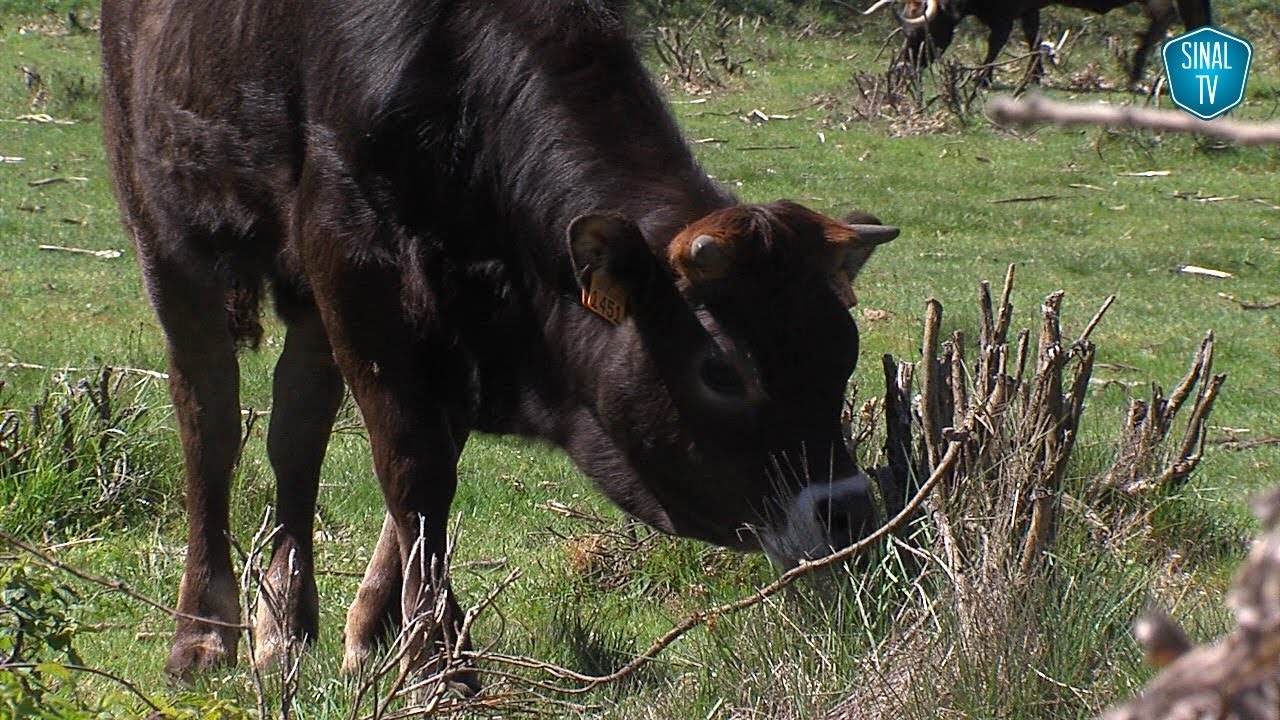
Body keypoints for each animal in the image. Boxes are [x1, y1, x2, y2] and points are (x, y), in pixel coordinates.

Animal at [100, 0, 899, 682]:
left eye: (845, 351)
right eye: (722, 368)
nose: (849, 513)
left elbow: (421, 475)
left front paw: (380, 634)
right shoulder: (357, 271)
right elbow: (413, 471)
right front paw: (440, 660)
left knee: (296, 430)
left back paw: (284, 627)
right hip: (164, 228)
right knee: (208, 420)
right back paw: (203, 636)